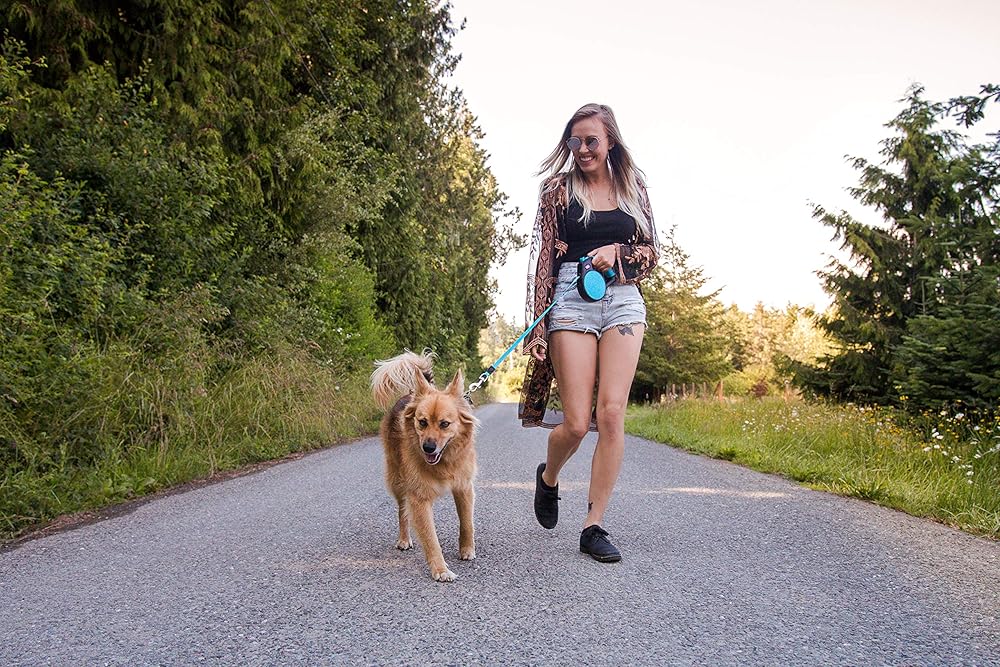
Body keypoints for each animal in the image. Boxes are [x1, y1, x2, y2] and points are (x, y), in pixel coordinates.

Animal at [370, 350, 479, 582]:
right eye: (422, 422)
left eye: (445, 424)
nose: (428, 447)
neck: (445, 461)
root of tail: (409, 394)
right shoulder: (419, 498)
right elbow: (430, 538)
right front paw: (440, 569)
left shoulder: (464, 487)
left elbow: (467, 522)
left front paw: (467, 549)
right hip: (397, 480)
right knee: (402, 511)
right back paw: (404, 539)